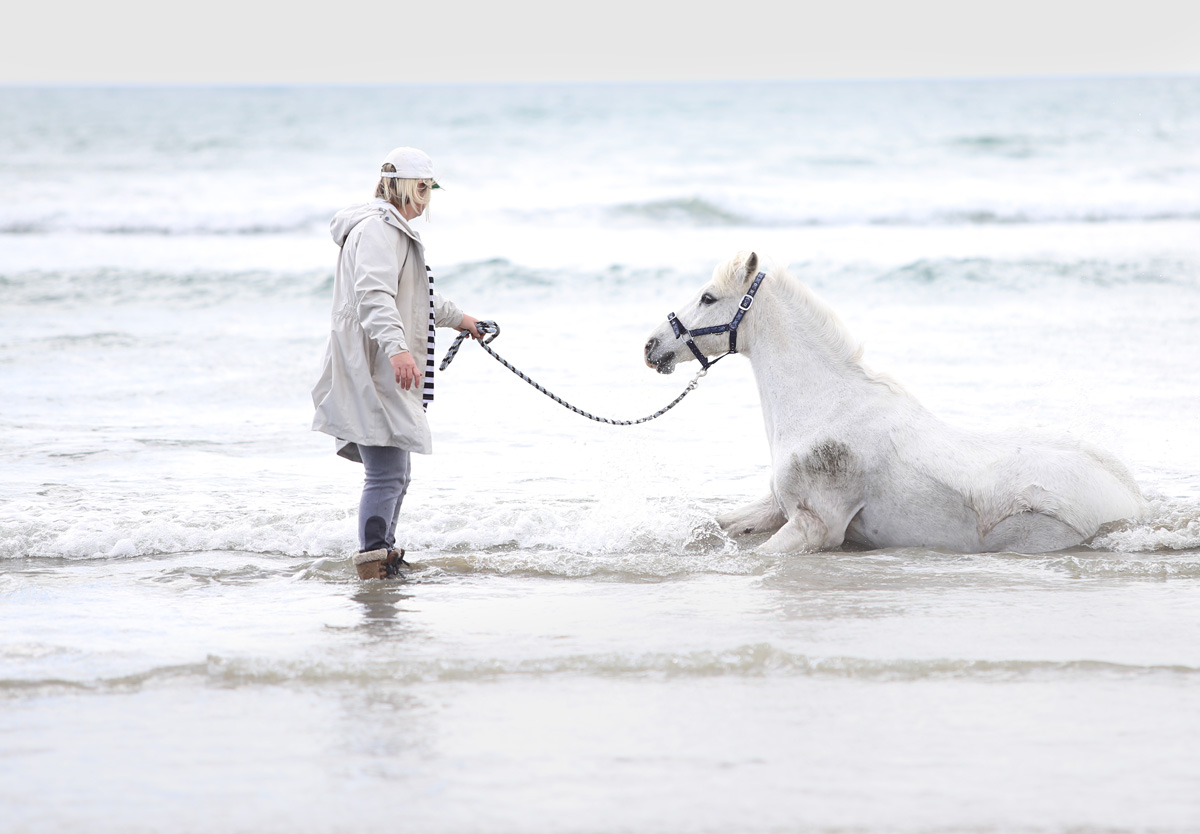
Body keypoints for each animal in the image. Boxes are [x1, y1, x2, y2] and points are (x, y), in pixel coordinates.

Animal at [648, 250, 1142, 556]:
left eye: (708, 297)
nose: (652, 346)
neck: (824, 406)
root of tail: (1131, 499)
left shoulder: (816, 526)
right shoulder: (775, 508)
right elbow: (712, 524)